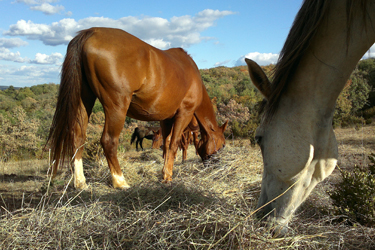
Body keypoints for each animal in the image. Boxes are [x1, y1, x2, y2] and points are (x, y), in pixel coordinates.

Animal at [47, 27, 229, 188]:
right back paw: (120, 182)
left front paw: (164, 172)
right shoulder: (184, 114)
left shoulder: (166, 120)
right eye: (223, 145)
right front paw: (168, 177)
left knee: (78, 137)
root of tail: (90, 33)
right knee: (108, 141)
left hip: (84, 100)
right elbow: (173, 144)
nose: (215, 166)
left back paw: (81, 183)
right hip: (117, 107)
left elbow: (166, 144)